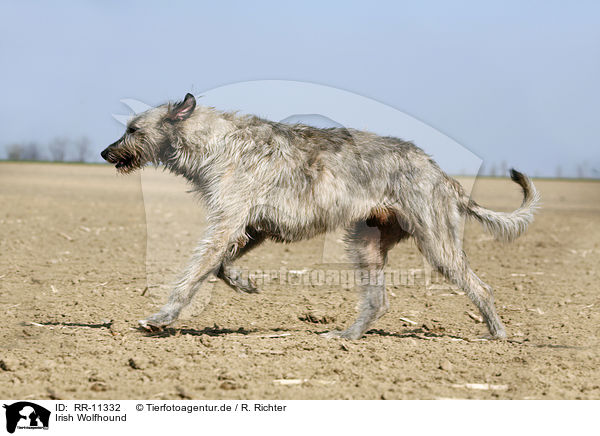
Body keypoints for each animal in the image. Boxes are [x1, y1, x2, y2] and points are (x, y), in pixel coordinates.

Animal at [99, 93, 540, 338]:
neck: (214, 141)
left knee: (481, 287)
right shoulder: (252, 226)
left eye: (133, 129)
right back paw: (346, 335)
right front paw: (242, 283)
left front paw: (162, 317)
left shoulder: (229, 221)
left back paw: (497, 335)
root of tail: (442, 174)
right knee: (378, 301)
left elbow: (193, 274)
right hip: (366, 243)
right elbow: (221, 264)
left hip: (437, 243)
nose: (104, 152)